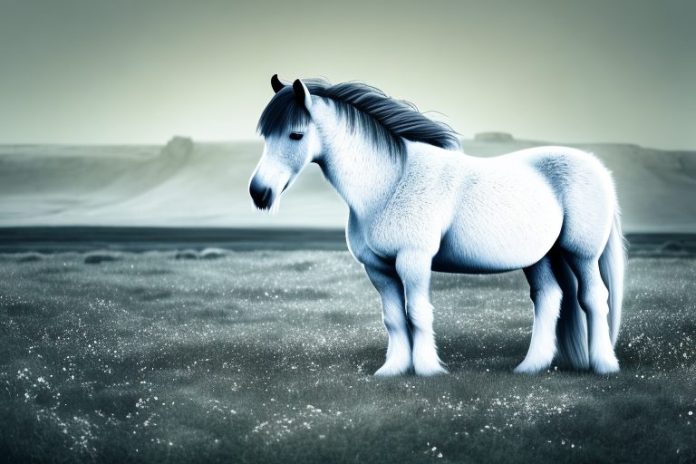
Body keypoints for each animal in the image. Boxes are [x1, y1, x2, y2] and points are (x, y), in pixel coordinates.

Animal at [249, 74, 625, 377]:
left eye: (296, 134)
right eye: (266, 135)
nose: (259, 193)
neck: (390, 183)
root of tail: (598, 168)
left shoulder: (413, 260)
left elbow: (418, 313)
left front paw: (428, 370)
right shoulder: (378, 269)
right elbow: (393, 319)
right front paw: (392, 370)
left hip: (581, 254)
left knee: (594, 297)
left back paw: (604, 365)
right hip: (539, 257)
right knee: (549, 298)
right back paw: (531, 367)